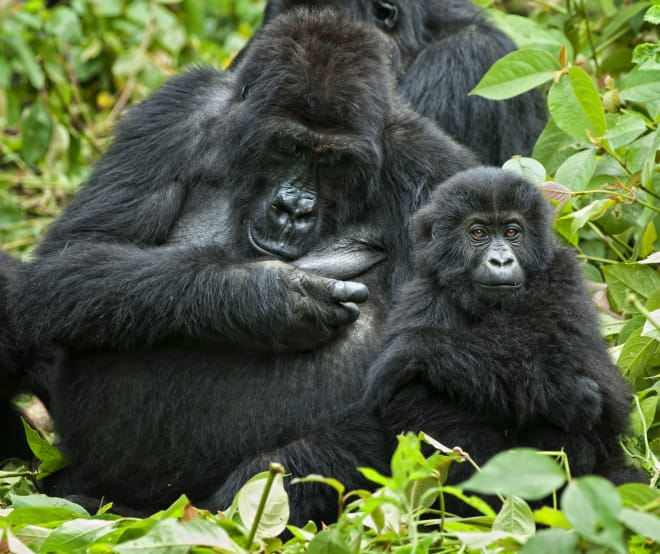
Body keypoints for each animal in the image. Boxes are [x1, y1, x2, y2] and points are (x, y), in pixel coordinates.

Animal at [10, 10, 474, 524]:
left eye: (334, 162)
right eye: (289, 147)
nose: (293, 209)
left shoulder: (434, 174)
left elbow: (425, 395)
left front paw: (259, 493)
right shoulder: (177, 110)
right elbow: (70, 261)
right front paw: (263, 297)